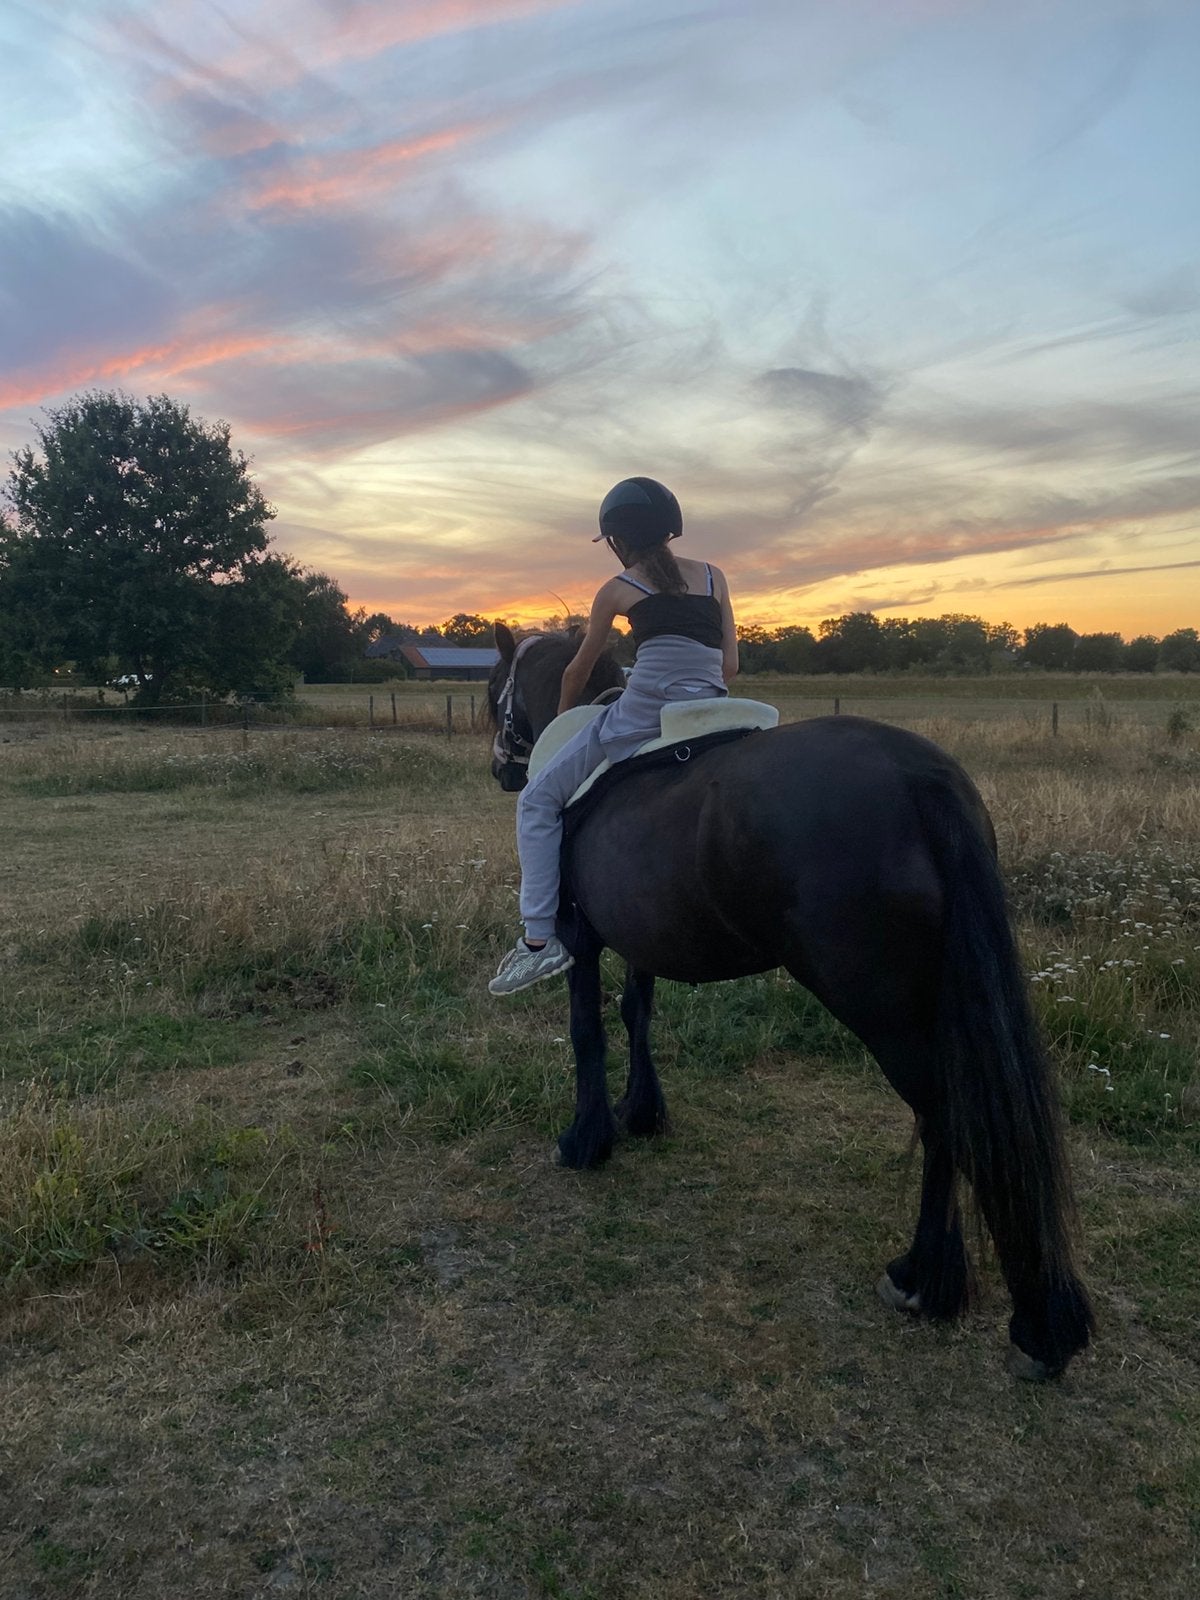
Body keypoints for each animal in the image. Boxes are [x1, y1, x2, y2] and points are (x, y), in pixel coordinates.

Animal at [486, 623, 1093, 1380]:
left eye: (493, 690)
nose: (501, 770)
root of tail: (918, 774)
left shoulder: (584, 936)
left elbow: (586, 1032)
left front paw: (586, 1138)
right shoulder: (642, 937)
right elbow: (637, 1015)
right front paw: (641, 1112)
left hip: (885, 1010)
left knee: (944, 1115)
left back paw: (948, 1288)